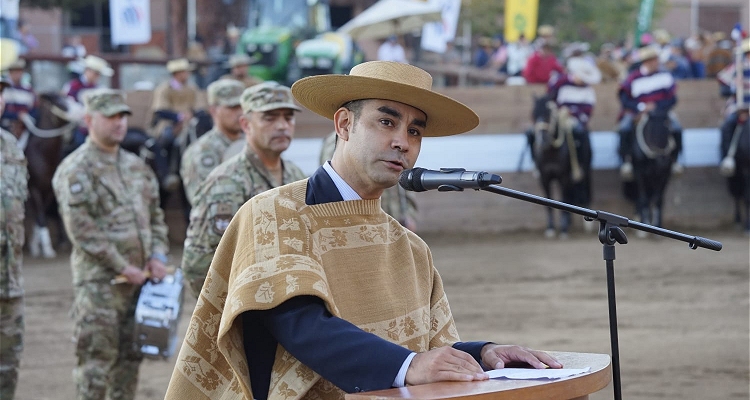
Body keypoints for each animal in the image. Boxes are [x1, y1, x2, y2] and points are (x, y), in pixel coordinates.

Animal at [21, 92, 81, 258]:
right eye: (60, 103)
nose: (81, 111)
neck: (42, 154)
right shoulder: (34, 189)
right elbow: (41, 216)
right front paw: (47, 248)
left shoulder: (48, 190)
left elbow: (40, 216)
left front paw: (39, 245)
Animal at [528, 95, 592, 236]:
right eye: (534, 114)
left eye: (548, 113)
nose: (542, 140)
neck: (551, 152)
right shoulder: (544, 178)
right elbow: (549, 201)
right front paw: (550, 228)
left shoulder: (564, 177)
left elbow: (563, 198)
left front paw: (563, 229)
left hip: (584, 171)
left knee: (582, 190)